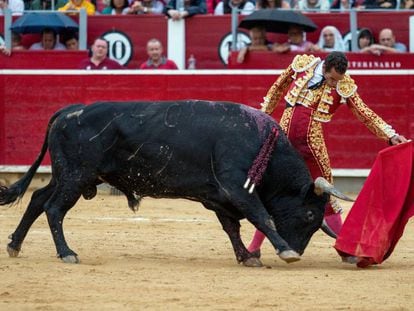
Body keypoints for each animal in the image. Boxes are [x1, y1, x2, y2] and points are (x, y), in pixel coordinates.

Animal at [0, 101, 350, 266]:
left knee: (37, 199)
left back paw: (15, 245)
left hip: (67, 175)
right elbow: (262, 217)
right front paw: (283, 251)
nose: (298, 249)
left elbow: (232, 227)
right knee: (54, 208)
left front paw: (247, 257)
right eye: (309, 215)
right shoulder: (237, 188)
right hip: (76, 176)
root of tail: (70, 110)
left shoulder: (220, 196)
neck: (263, 143)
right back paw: (67, 253)